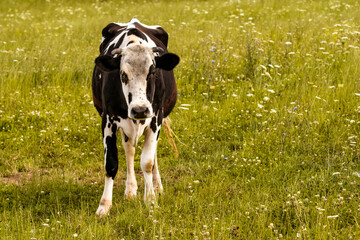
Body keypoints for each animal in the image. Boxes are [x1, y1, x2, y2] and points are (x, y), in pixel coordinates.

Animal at [91, 17, 179, 216]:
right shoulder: (108, 119)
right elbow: (111, 163)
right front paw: (104, 205)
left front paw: (151, 200)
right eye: (123, 74)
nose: (140, 110)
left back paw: (157, 186)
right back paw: (130, 189)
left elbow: (147, 162)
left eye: (152, 72)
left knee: (152, 155)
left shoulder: (155, 118)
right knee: (129, 150)